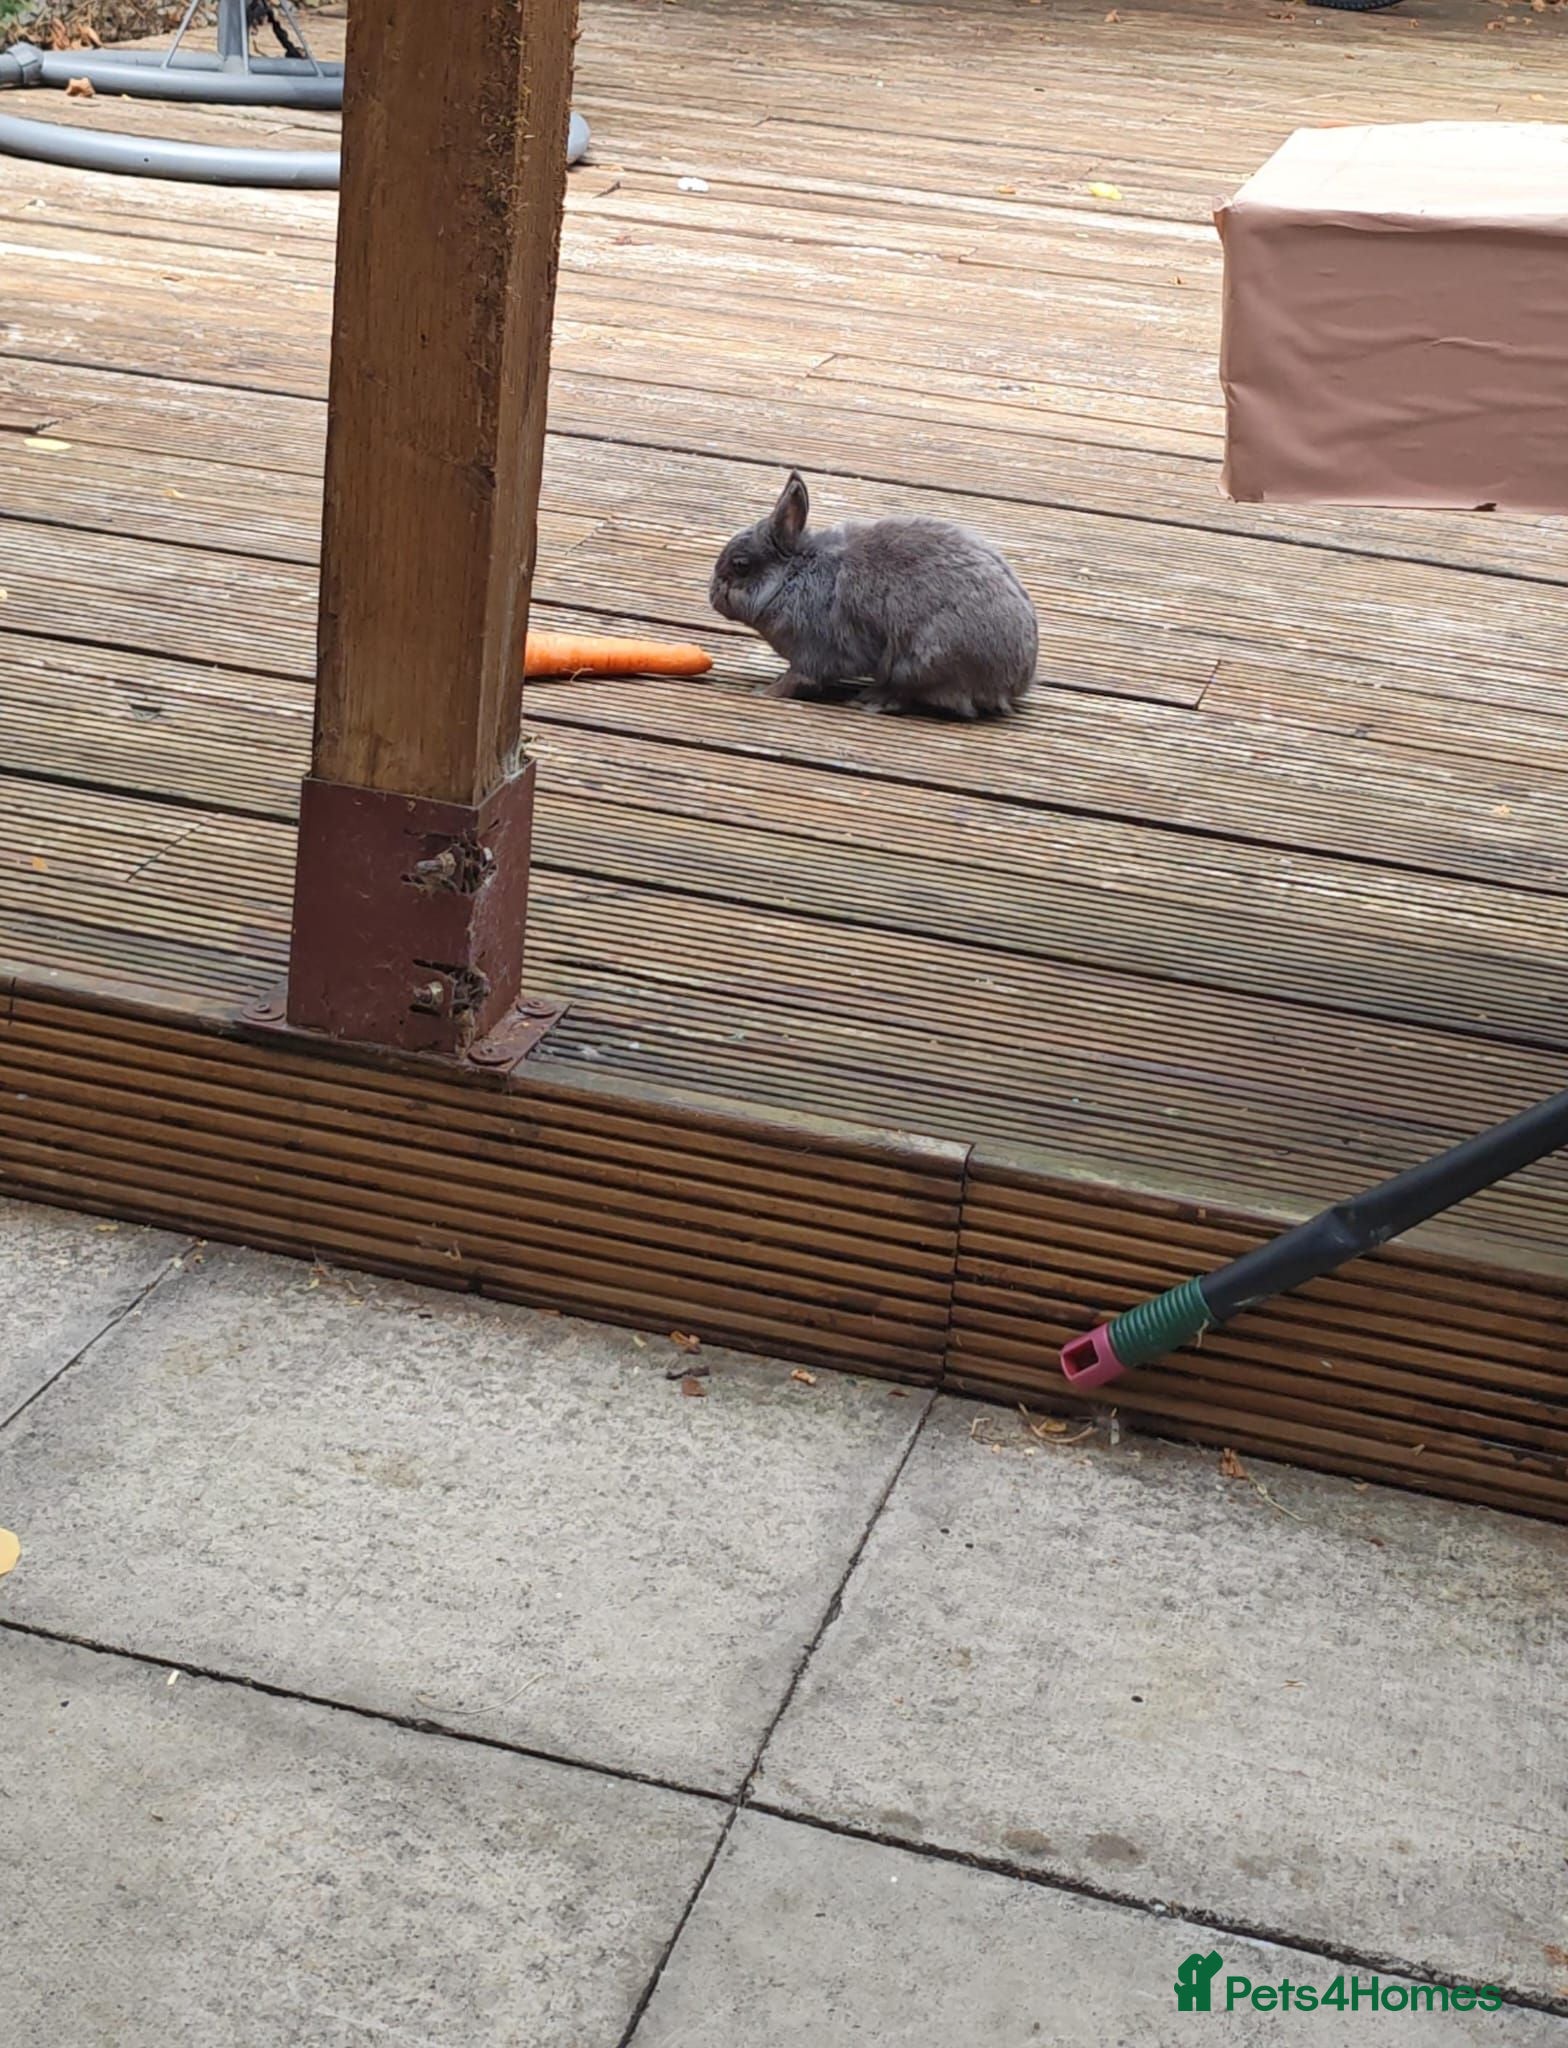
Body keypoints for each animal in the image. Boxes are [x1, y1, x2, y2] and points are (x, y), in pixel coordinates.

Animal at [708, 471, 1037, 719]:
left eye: (740, 565)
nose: (712, 595)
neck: (793, 576)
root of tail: (1012, 681)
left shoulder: (814, 650)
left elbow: (798, 677)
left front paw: (765, 692)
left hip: (920, 660)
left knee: (908, 693)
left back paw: (871, 700)